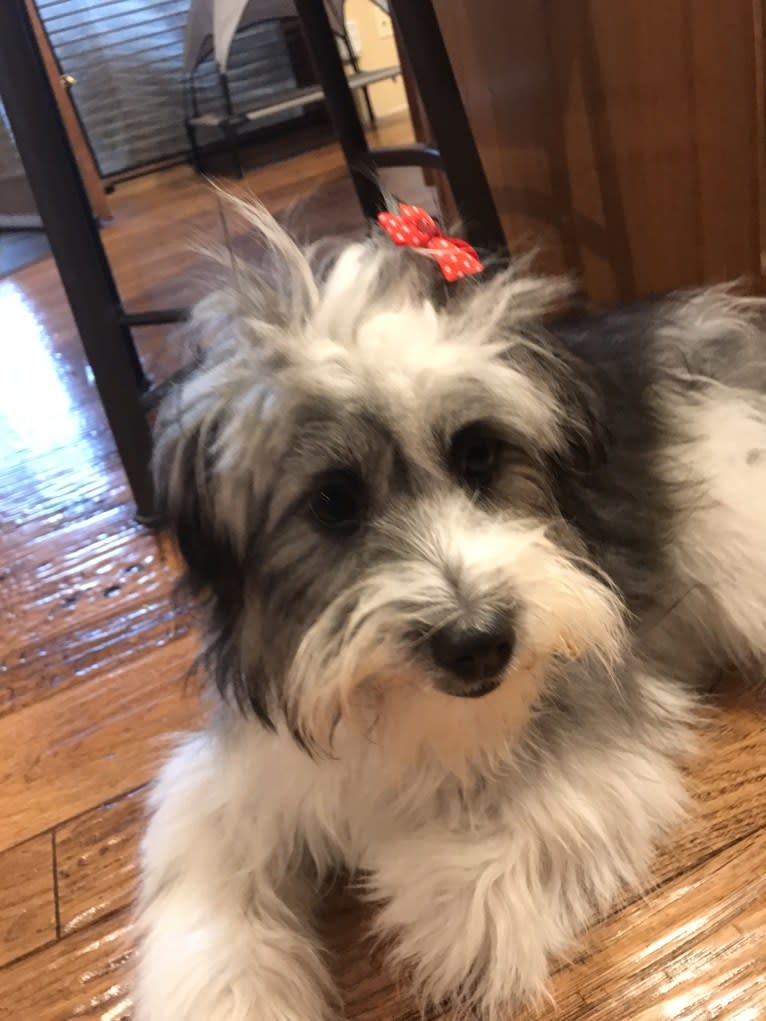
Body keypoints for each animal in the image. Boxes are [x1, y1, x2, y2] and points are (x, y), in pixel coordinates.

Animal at [137, 201, 766, 1021]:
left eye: (480, 455)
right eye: (333, 499)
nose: (478, 643)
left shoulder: (597, 717)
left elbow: (472, 884)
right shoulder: (245, 776)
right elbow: (210, 875)